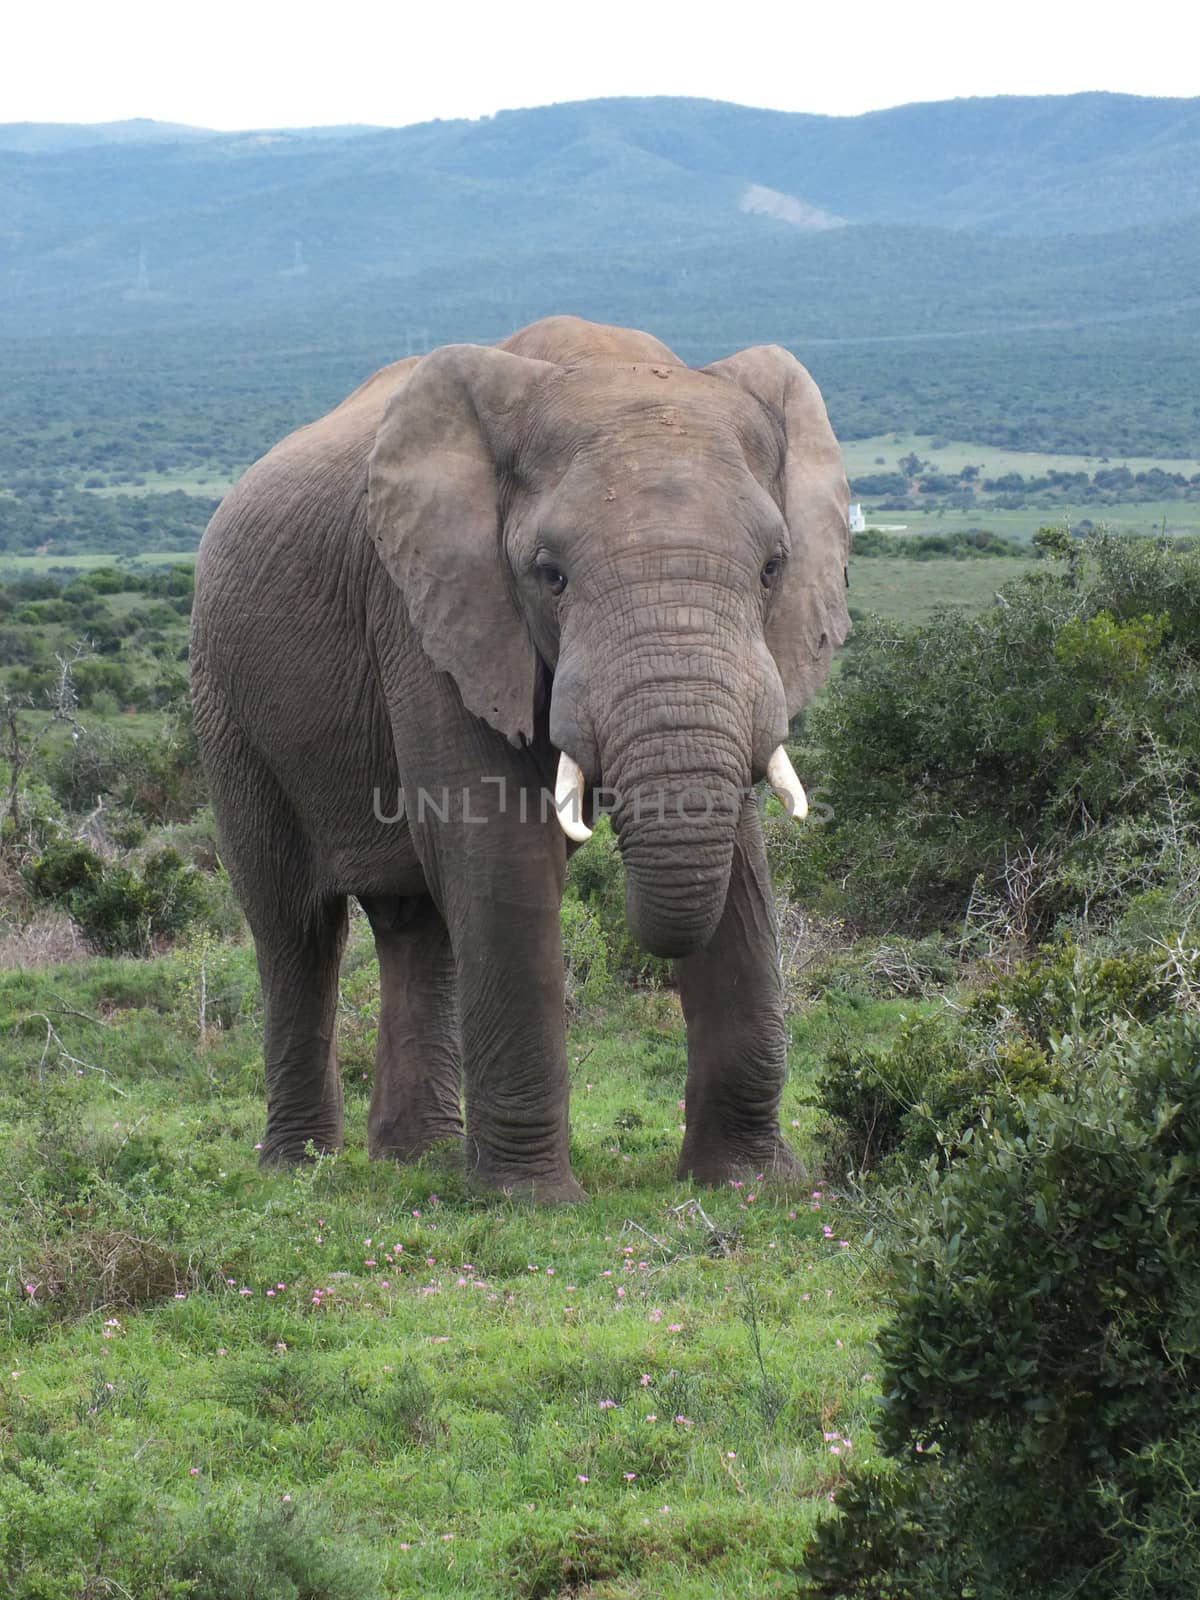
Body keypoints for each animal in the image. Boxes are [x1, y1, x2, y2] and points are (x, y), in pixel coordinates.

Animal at [190, 318, 857, 1203]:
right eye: (551, 574)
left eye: (772, 568)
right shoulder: (427, 610)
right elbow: (499, 851)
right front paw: (528, 1202)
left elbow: (742, 869)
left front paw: (748, 1185)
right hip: (226, 705)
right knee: (295, 928)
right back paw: (301, 1168)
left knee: (416, 927)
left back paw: (418, 1160)